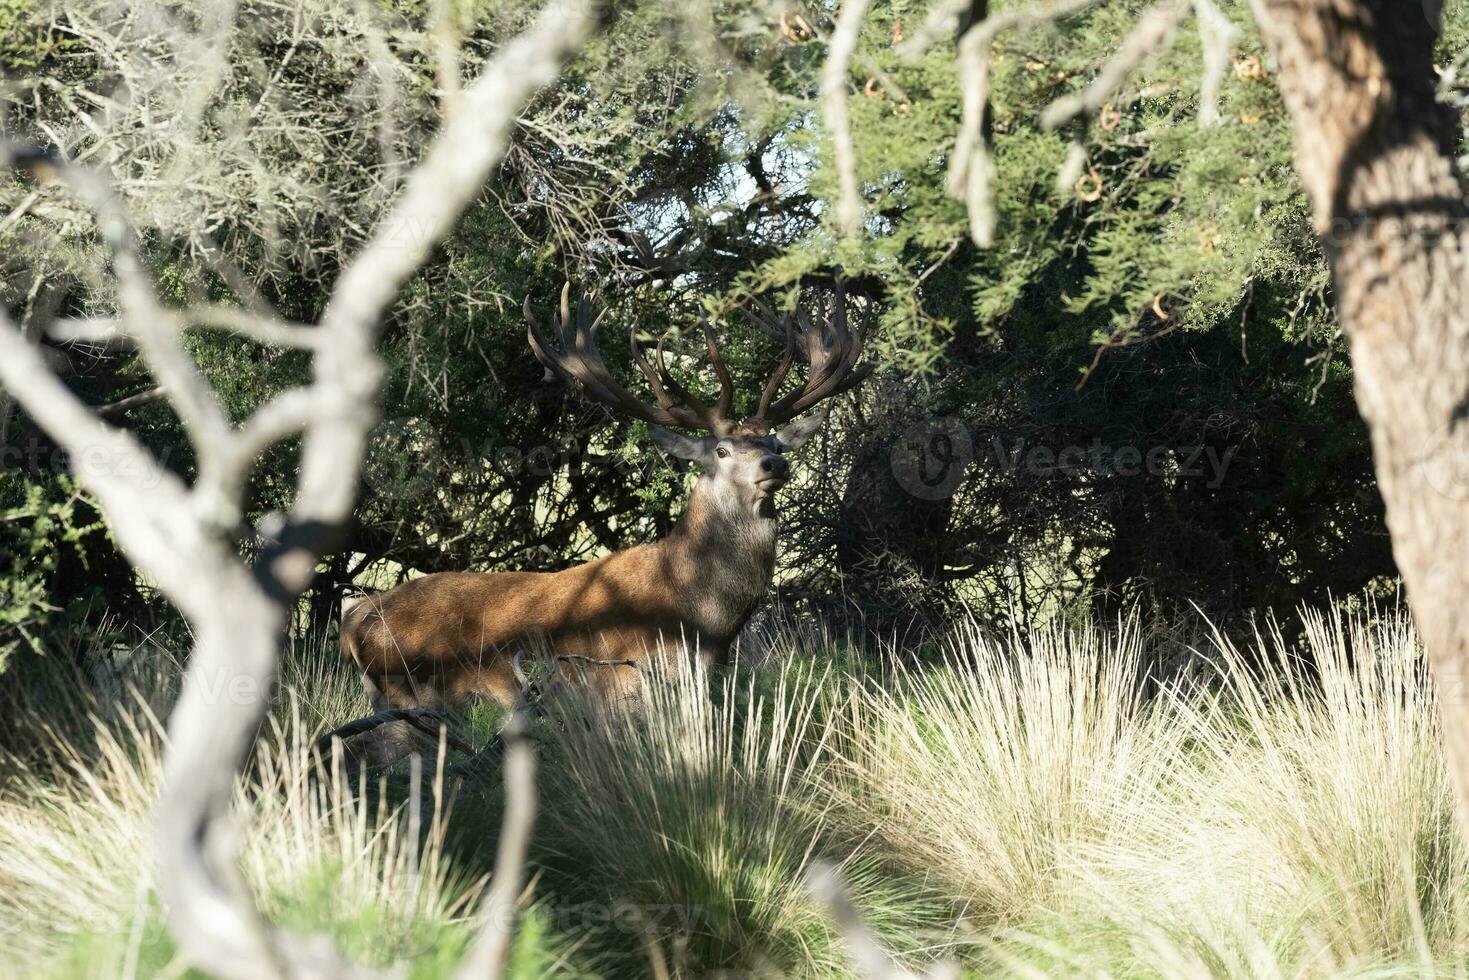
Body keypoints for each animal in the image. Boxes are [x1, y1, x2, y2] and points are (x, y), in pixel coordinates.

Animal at [340, 283, 869, 719]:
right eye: (720, 450)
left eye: (776, 442)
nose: (774, 465)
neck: (705, 621)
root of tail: (353, 620)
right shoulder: (624, 681)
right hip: (414, 687)